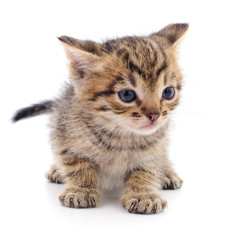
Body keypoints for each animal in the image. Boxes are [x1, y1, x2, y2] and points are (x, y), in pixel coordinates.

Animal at [12, 23, 188, 214]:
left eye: (168, 92)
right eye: (127, 95)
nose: (155, 115)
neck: (122, 136)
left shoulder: (154, 150)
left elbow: (146, 170)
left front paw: (143, 194)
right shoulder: (65, 137)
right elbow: (78, 165)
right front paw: (81, 190)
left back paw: (168, 173)